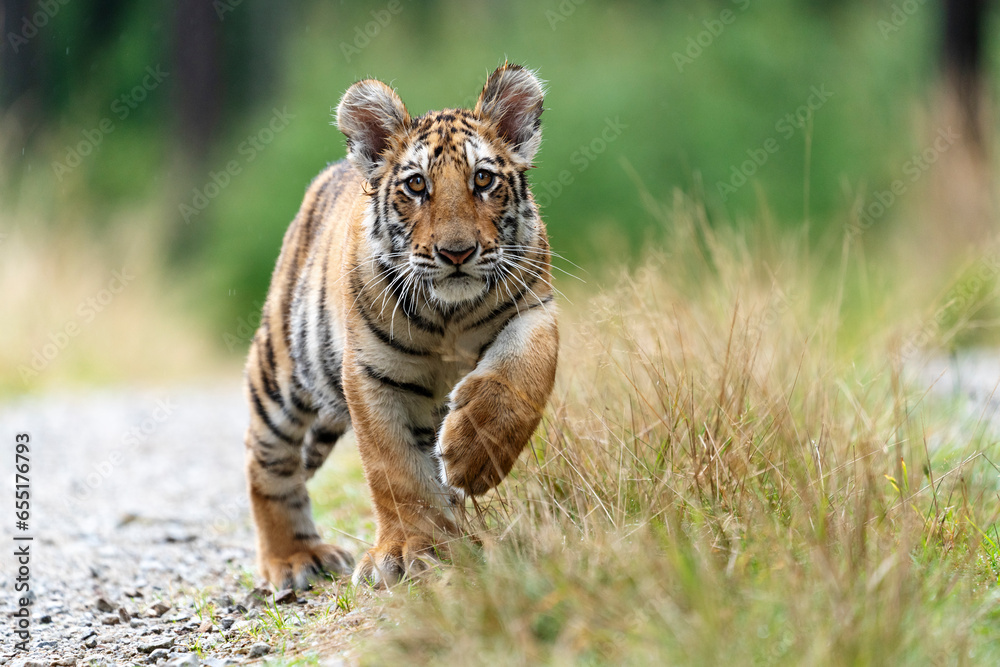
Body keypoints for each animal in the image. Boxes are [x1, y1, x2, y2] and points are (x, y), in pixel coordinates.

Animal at [242, 63, 558, 589]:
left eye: (483, 179)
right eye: (416, 186)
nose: (457, 253)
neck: (449, 315)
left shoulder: (535, 310)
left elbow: (522, 375)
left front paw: (472, 460)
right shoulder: (371, 372)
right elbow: (394, 468)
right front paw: (412, 550)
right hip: (281, 374)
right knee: (267, 461)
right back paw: (294, 559)